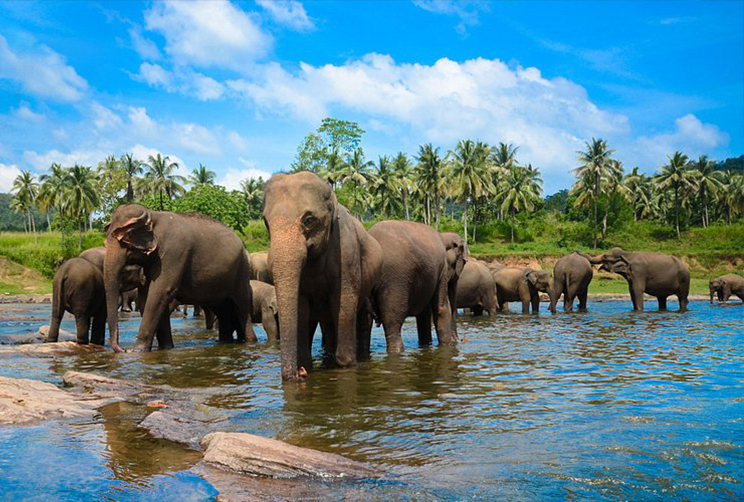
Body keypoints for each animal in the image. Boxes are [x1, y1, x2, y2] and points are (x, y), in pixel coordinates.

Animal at [103, 204, 255, 353]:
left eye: (126, 238)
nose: (122, 349)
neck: (153, 215)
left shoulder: (174, 252)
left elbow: (160, 292)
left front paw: (136, 351)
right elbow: (149, 296)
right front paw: (165, 348)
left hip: (242, 271)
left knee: (241, 307)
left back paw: (249, 341)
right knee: (223, 310)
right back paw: (225, 341)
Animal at [263, 172, 382, 380]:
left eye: (309, 220)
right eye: (266, 223)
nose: (299, 373)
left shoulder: (347, 254)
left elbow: (344, 302)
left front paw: (347, 365)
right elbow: (301, 308)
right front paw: (305, 365)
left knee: (361, 317)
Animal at [365, 220, 457, 354]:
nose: (457, 341)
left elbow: (425, 314)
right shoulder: (442, 270)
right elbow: (441, 308)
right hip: (396, 279)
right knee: (393, 323)